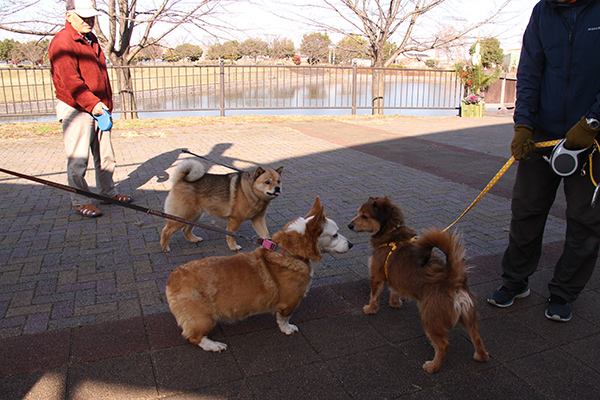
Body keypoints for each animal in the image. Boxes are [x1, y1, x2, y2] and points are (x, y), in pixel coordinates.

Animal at [165, 198, 352, 352]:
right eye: (335, 235)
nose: (351, 244)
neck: (290, 252)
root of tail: (173, 277)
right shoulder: (289, 303)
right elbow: (284, 319)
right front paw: (288, 329)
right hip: (205, 319)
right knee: (195, 337)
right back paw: (214, 345)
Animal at [346, 197, 488, 372]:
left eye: (365, 216)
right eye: (359, 212)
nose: (349, 225)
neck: (391, 232)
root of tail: (453, 280)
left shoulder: (377, 276)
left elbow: (374, 295)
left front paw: (371, 309)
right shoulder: (395, 277)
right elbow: (394, 290)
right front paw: (395, 303)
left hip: (430, 319)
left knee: (443, 345)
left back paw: (433, 366)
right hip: (469, 317)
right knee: (477, 337)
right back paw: (480, 356)